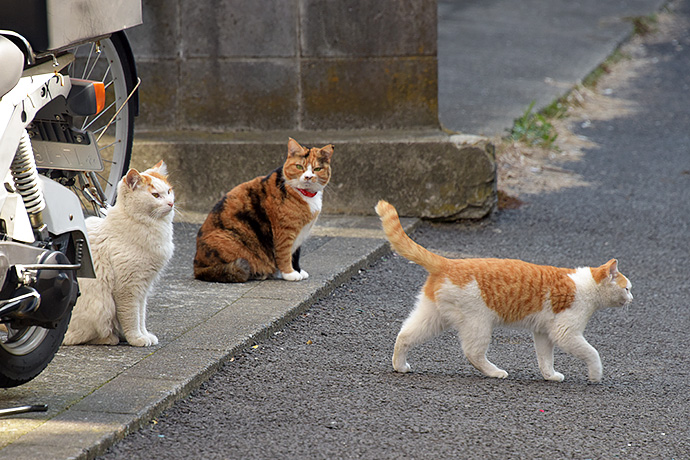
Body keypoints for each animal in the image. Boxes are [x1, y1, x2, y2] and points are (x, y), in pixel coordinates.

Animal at [63, 161, 173, 344]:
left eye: (169, 191)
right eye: (156, 195)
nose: (171, 204)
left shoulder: (143, 288)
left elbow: (141, 315)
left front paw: (144, 334)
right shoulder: (128, 288)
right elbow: (131, 317)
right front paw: (136, 338)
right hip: (102, 306)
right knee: (76, 337)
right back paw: (110, 338)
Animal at [194, 137, 334, 282]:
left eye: (317, 169)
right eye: (299, 167)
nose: (308, 177)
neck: (304, 194)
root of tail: (197, 268)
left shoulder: (300, 234)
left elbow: (296, 254)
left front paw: (298, 270)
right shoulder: (284, 231)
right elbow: (284, 254)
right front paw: (290, 273)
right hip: (226, 239)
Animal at [374, 199, 632, 382]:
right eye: (627, 288)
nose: (632, 298)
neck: (586, 285)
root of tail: (449, 262)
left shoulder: (543, 333)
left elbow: (545, 358)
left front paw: (550, 376)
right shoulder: (565, 332)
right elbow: (592, 353)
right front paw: (595, 375)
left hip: (432, 317)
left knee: (404, 335)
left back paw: (400, 365)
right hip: (478, 323)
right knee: (473, 353)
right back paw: (495, 372)